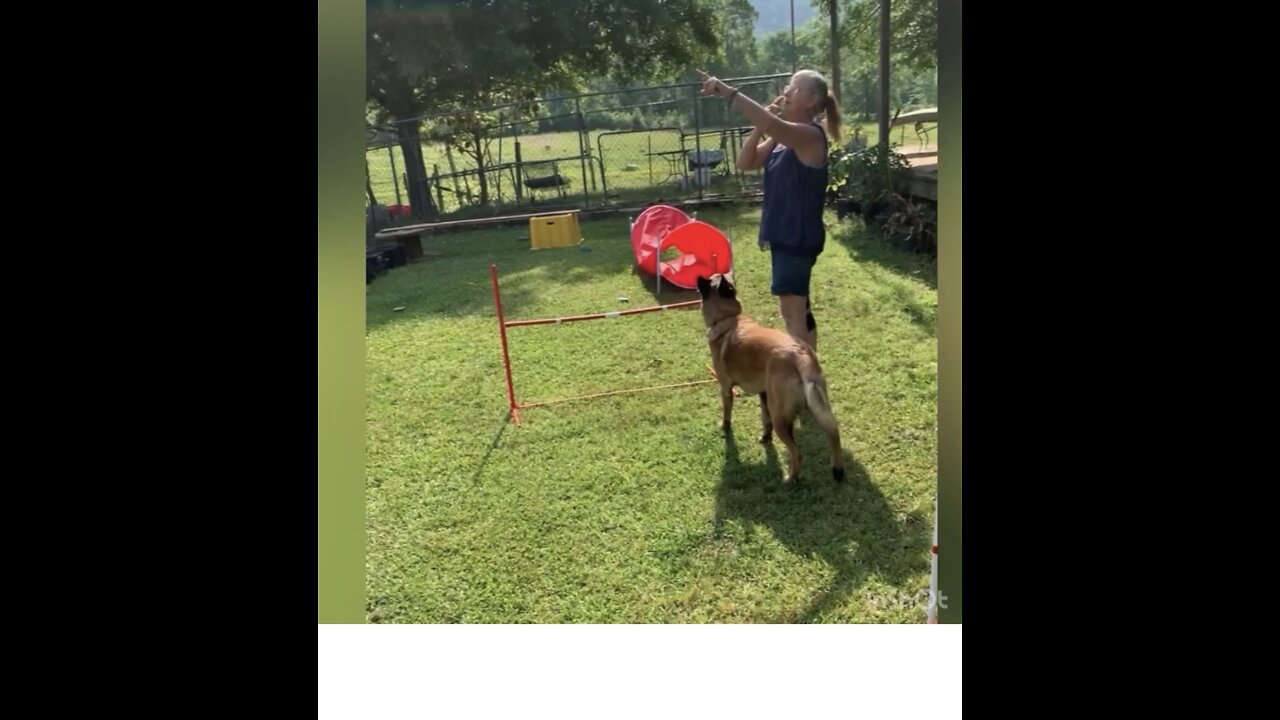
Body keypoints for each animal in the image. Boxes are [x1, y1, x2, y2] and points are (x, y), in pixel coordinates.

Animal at [696, 272, 844, 481]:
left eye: (709, 280)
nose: (698, 276)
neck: (730, 318)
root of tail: (801, 355)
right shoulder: (764, 394)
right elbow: (765, 421)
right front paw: (766, 438)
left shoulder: (725, 387)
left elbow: (727, 413)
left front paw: (724, 426)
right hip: (816, 407)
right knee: (833, 434)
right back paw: (837, 469)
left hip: (780, 415)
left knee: (796, 453)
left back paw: (790, 479)